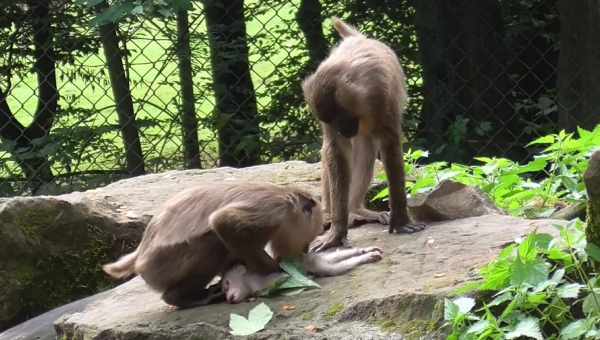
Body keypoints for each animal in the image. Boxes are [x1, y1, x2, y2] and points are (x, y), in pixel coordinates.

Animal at [221, 246, 384, 304]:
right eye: (224, 289)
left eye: (227, 284)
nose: (228, 298)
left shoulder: (261, 280)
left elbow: (282, 280)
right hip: (314, 259)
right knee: (333, 259)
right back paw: (363, 251)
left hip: (311, 261)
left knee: (333, 268)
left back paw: (364, 257)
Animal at [300, 17, 426, 252]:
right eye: (332, 121)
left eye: (342, 116)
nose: (343, 130)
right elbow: (336, 152)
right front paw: (337, 231)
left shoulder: (381, 96)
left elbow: (389, 144)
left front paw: (401, 221)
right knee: (332, 156)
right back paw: (336, 214)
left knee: (367, 150)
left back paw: (356, 209)